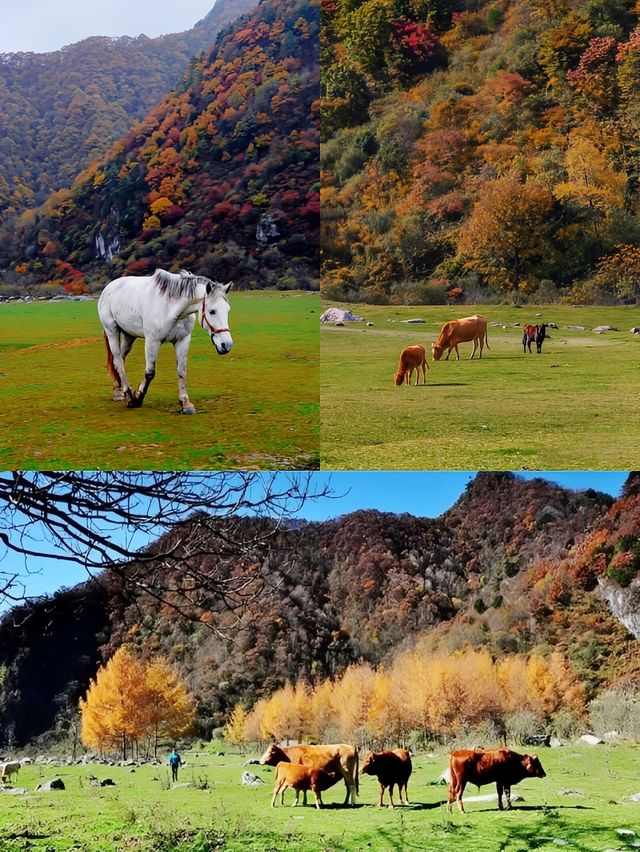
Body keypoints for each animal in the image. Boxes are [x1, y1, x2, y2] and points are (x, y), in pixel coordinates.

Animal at [97, 266, 232, 412]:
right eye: (212, 311)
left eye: (228, 310)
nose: (227, 345)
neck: (171, 308)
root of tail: (108, 288)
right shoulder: (152, 341)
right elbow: (150, 373)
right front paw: (137, 397)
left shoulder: (183, 340)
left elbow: (181, 371)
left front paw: (185, 402)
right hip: (112, 331)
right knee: (118, 360)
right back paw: (128, 395)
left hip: (129, 335)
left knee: (119, 360)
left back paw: (118, 391)